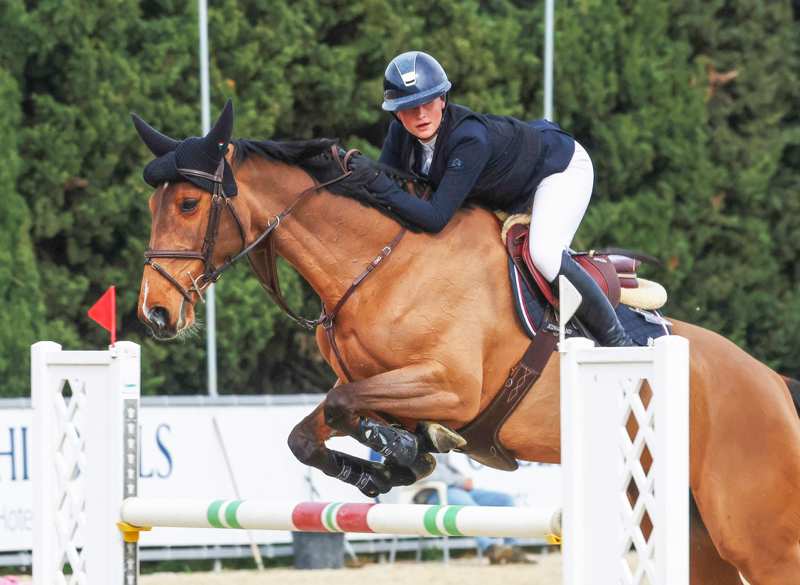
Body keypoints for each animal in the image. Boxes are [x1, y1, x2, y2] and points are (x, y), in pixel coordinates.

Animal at [133, 101, 800, 584]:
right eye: (153, 203)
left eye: (188, 203)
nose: (155, 312)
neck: (380, 265)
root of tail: (771, 382)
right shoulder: (375, 381)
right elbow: (312, 429)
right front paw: (392, 462)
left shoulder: (451, 388)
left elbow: (350, 406)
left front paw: (407, 449)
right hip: (686, 522)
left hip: (755, 533)